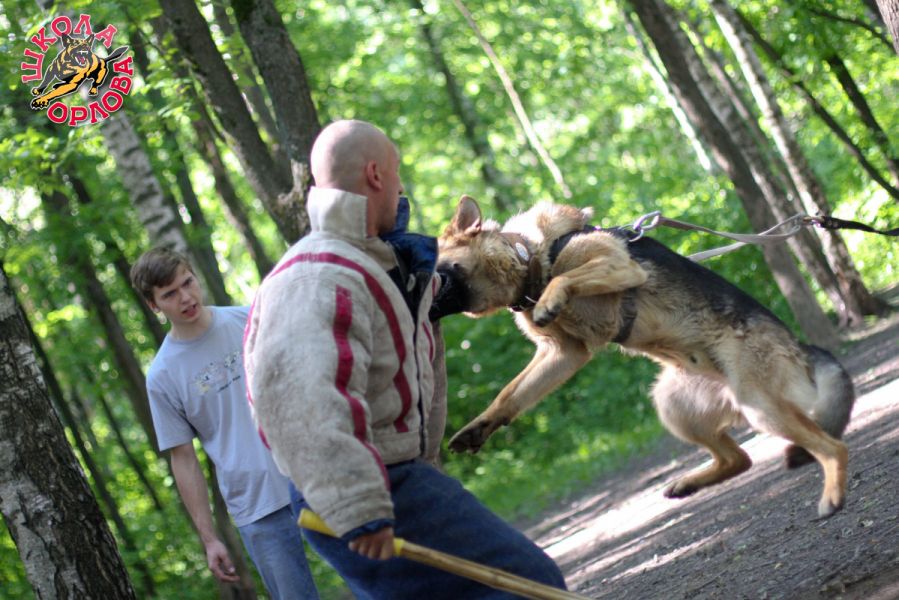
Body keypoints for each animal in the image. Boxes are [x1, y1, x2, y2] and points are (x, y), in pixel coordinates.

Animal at [435, 196, 854, 518]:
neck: (528, 258)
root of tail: (802, 348)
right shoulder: (564, 353)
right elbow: (511, 393)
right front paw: (480, 426)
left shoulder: (618, 268)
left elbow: (567, 278)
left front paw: (552, 298)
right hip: (674, 406)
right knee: (738, 460)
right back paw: (689, 482)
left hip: (759, 407)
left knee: (833, 447)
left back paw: (831, 497)